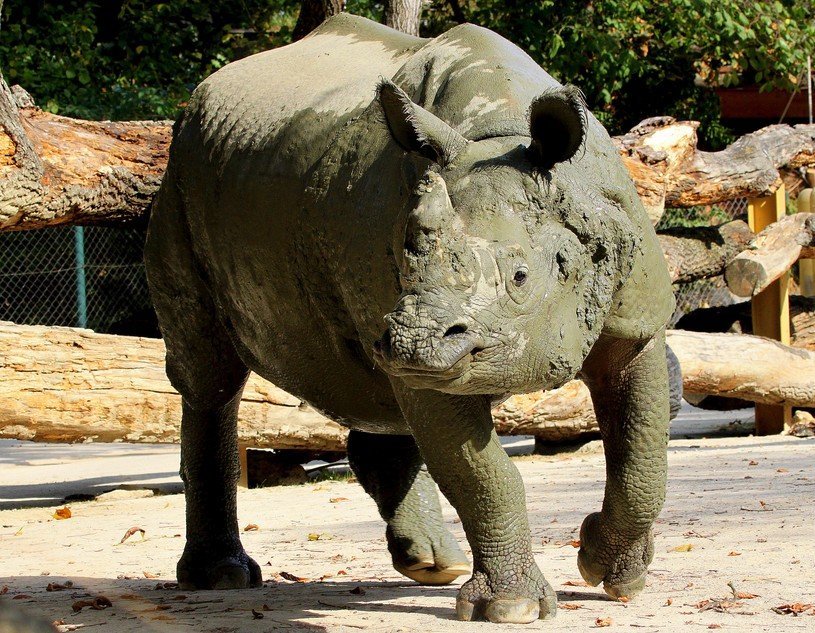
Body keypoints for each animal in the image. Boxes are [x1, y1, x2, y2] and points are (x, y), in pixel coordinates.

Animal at [144, 13, 676, 624]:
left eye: (521, 277)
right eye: (407, 258)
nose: (414, 340)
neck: (500, 135)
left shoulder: (635, 322)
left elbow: (642, 456)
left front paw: (614, 571)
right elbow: (483, 474)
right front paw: (513, 608)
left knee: (370, 391)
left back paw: (432, 565)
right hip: (178, 183)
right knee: (211, 379)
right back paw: (222, 578)